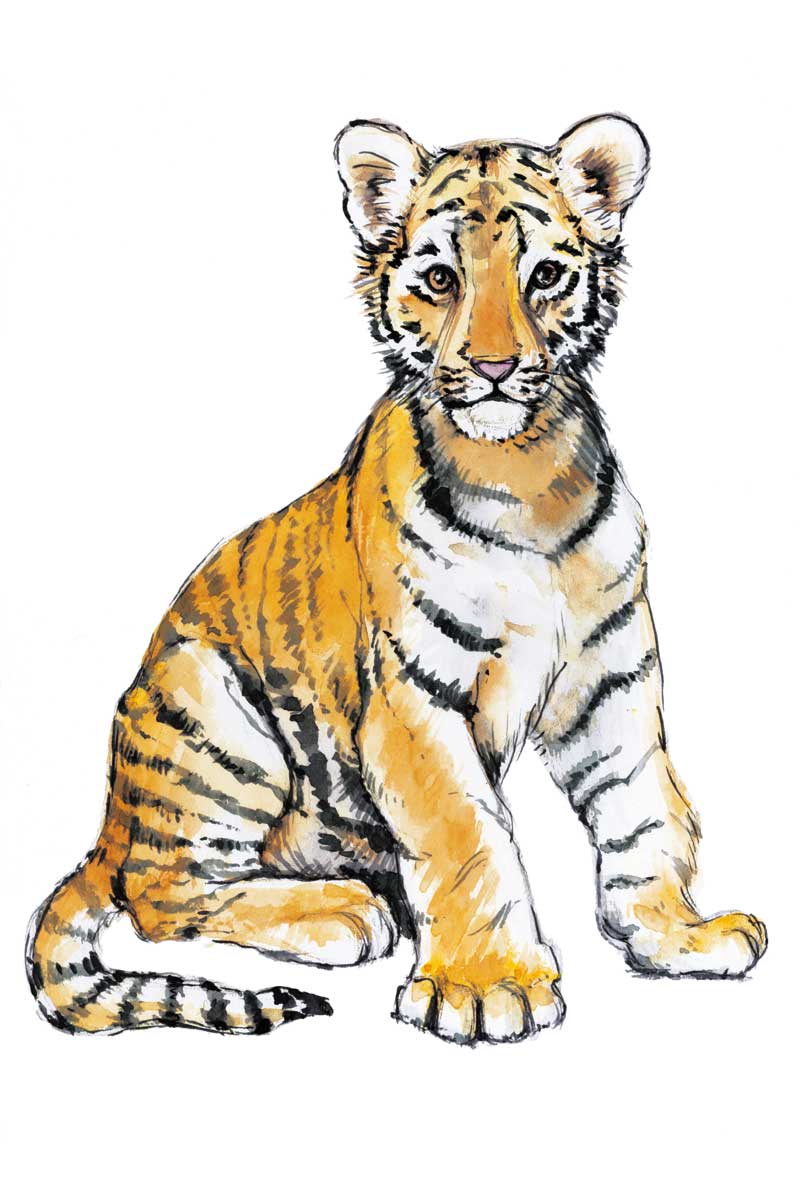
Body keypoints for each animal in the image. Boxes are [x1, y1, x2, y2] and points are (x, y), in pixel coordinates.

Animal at [27, 114, 767, 1044]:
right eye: (440, 278)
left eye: (546, 276)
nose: (493, 368)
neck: (525, 477)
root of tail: (109, 826)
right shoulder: (413, 694)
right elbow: (468, 832)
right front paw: (488, 987)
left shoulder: (613, 678)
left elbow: (646, 808)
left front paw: (676, 934)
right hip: (206, 709)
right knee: (161, 892)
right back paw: (342, 912)